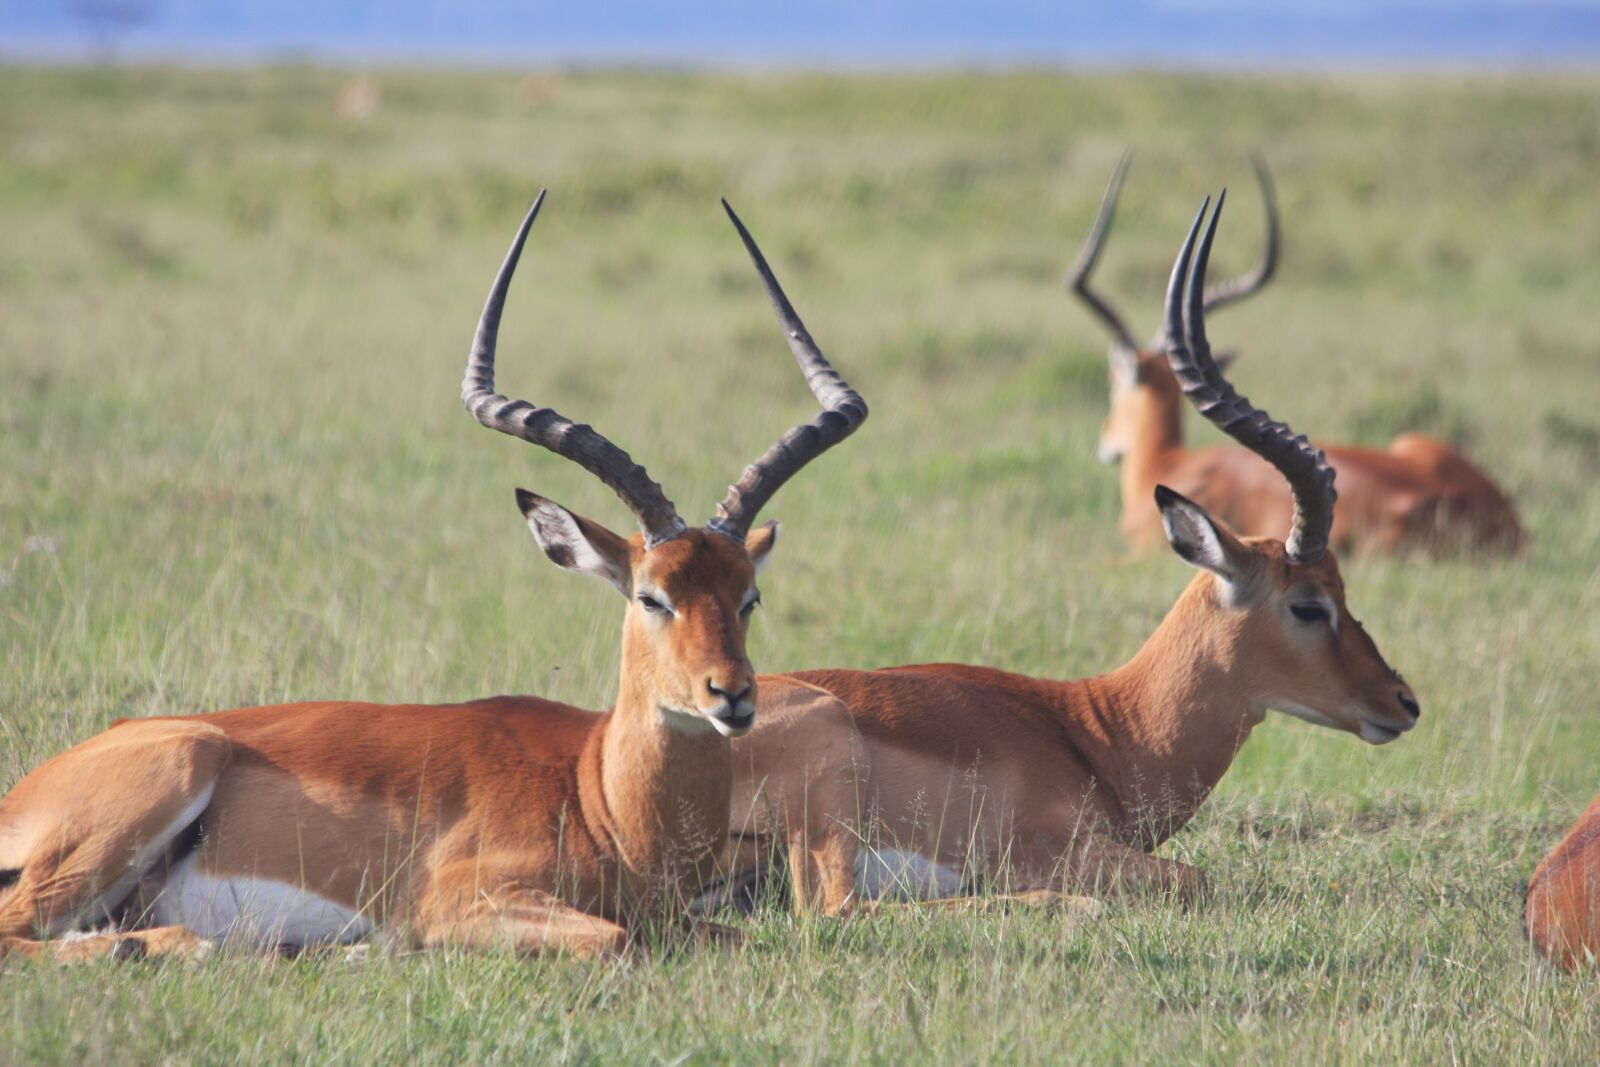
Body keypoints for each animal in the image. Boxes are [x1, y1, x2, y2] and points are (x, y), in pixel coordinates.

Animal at [0, 194, 866, 960]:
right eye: (653, 595)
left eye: (748, 596)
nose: (733, 695)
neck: (599, 797)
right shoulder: (458, 900)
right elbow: (615, 937)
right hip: (165, 779)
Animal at [713, 192, 1420, 916]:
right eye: (1308, 604)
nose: (1403, 701)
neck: (1100, 732)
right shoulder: (1058, 846)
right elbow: (1195, 876)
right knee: (836, 907)